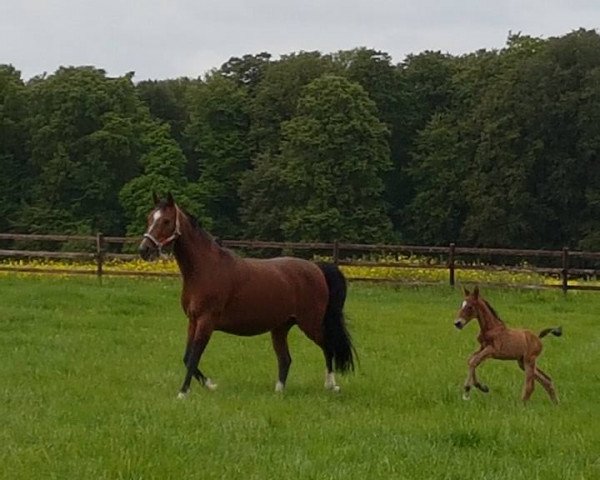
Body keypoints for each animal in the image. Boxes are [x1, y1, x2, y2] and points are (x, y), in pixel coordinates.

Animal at [138, 192, 354, 398]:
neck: (206, 268)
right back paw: (279, 392)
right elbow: (186, 357)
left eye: (166, 221)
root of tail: (316, 268)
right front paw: (210, 385)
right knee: (285, 359)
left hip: (310, 324)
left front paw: (183, 393)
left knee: (328, 346)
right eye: (149, 218)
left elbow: (193, 357)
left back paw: (331, 385)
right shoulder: (193, 320)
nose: (144, 249)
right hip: (280, 327)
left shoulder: (206, 321)